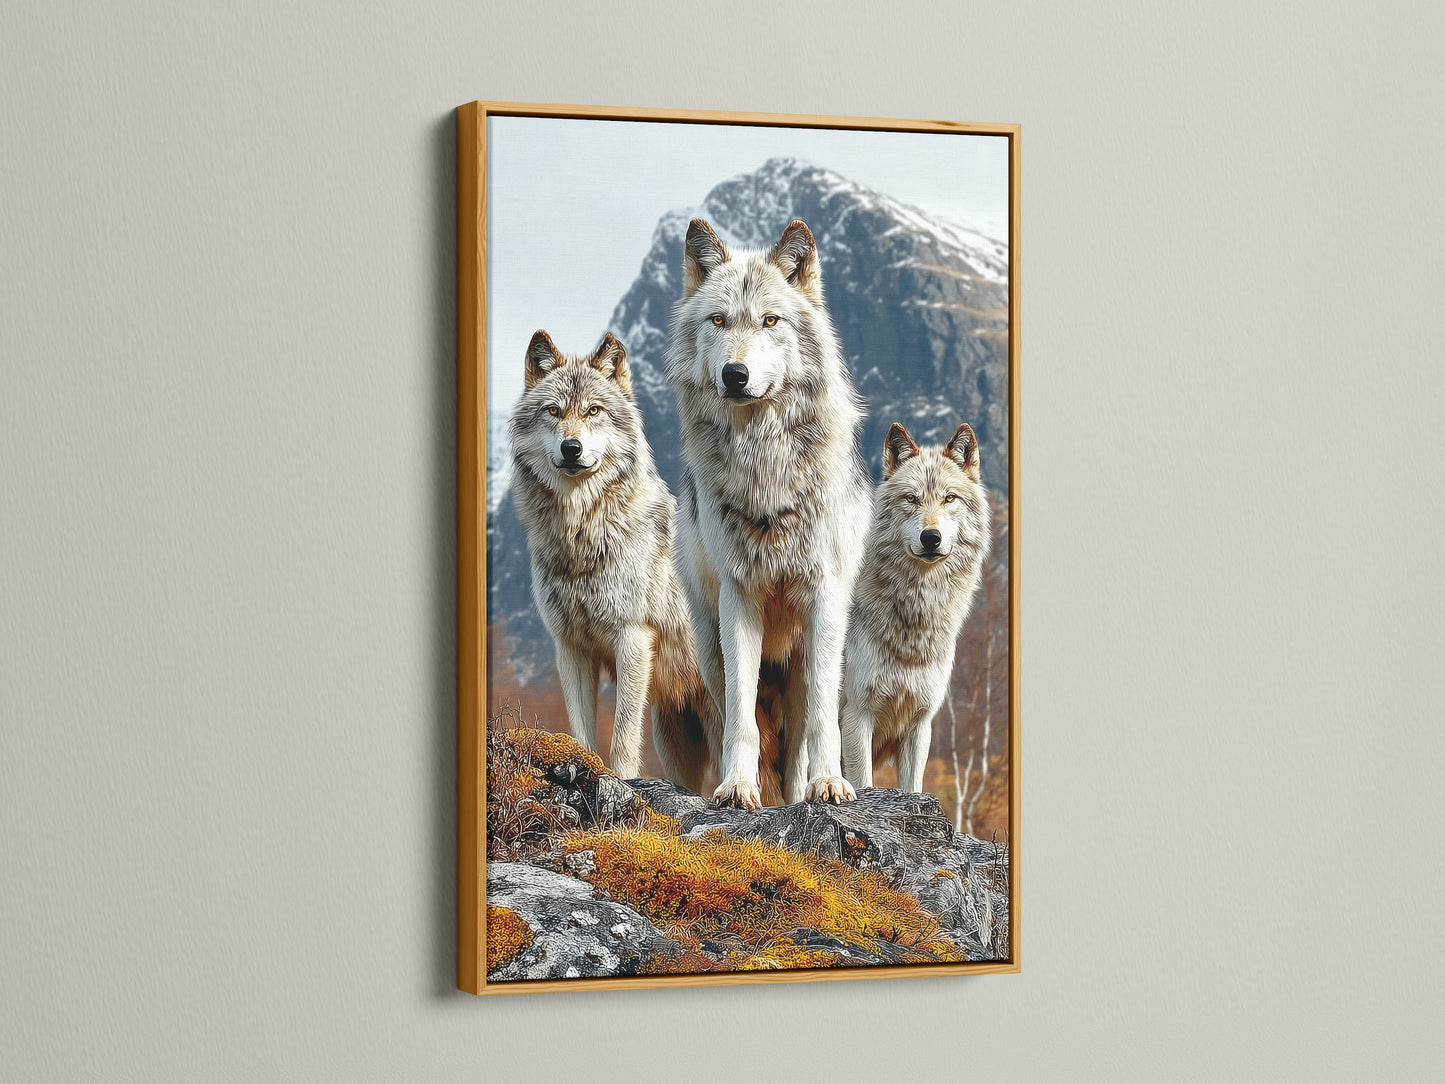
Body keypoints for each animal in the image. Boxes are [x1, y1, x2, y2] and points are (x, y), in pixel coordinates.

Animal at [509, 329, 712, 788]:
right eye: (553, 411)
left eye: (593, 410)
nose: (571, 448)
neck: (582, 536)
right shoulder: (570, 647)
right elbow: (581, 729)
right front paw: (580, 766)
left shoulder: (632, 637)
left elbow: (621, 732)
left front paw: (618, 779)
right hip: (675, 734)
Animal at [666, 217, 871, 809]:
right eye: (718, 320)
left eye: (770, 321)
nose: (735, 374)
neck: (765, 470)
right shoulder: (740, 597)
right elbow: (741, 723)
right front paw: (737, 787)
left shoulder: (822, 595)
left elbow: (822, 722)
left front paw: (829, 785)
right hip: (710, 651)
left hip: (809, 657)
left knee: (800, 736)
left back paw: (807, 788)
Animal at [840, 422, 991, 794]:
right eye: (911, 499)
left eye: (949, 498)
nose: (931, 537)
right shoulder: (856, 716)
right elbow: (862, 784)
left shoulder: (920, 722)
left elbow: (913, 787)